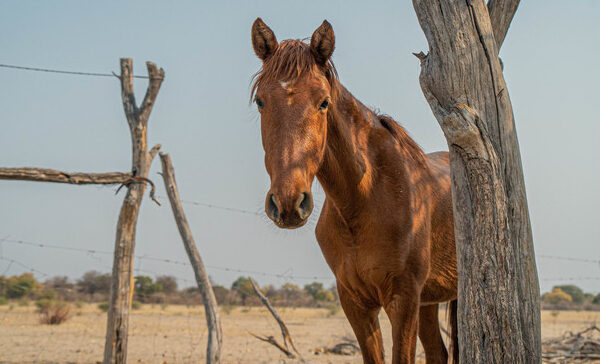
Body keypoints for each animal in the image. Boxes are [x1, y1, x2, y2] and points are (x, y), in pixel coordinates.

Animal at [250, 17, 460, 364]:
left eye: (323, 102)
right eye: (260, 102)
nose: (289, 203)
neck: (366, 199)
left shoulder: (403, 300)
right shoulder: (355, 303)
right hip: (429, 303)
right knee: (437, 353)